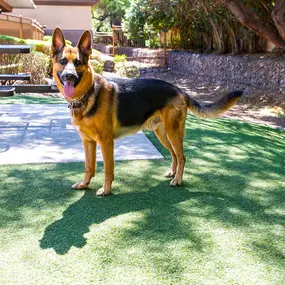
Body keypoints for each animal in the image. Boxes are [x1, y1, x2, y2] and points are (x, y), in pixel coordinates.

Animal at [51, 28, 242, 195]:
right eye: (63, 61)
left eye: (77, 63)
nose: (69, 76)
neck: (87, 95)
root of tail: (180, 90)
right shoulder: (88, 142)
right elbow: (89, 166)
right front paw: (84, 184)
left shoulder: (106, 142)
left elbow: (108, 169)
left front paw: (106, 190)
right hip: (163, 134)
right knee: (174, 154)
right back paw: (172, 173)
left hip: (173, 133)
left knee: (182, 157)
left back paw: (178, 180)